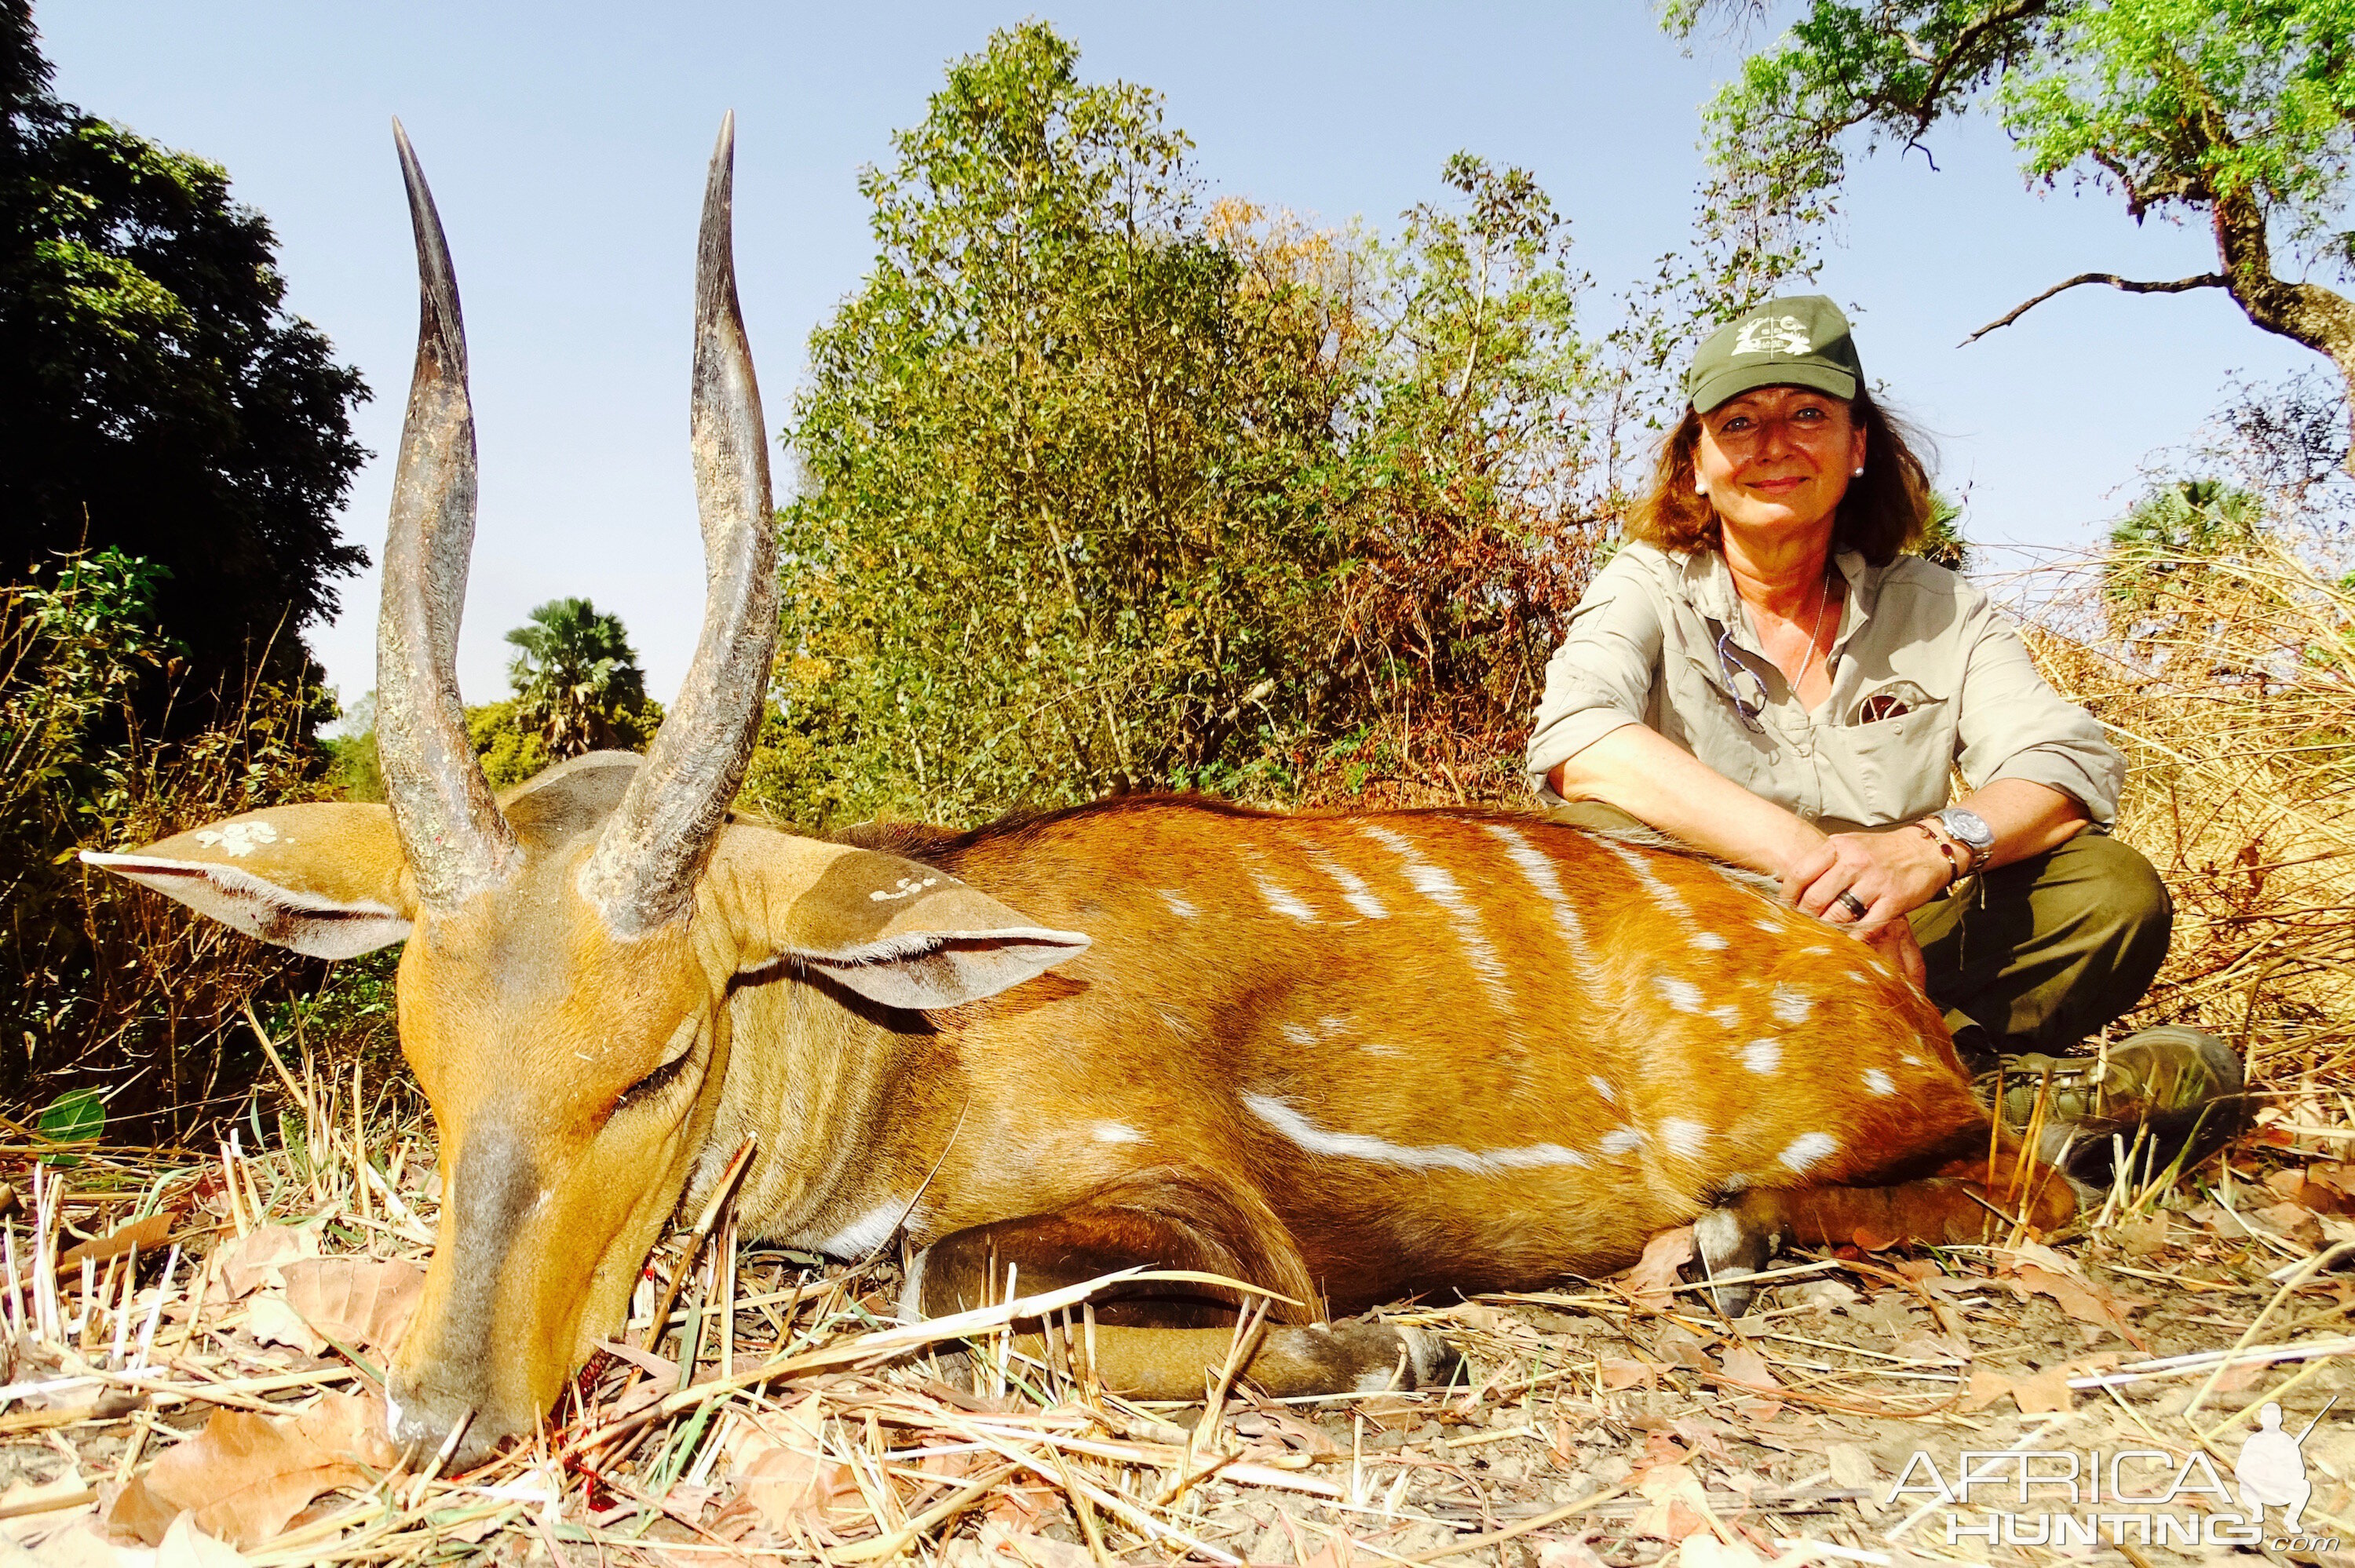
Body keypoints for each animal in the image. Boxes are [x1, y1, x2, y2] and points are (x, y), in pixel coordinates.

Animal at [87, 115, 2082, 1460]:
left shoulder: (1206, 1211)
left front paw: (1398, 1351)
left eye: (655, 1061)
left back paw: (1728, 1242)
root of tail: (1867, 958)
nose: (438, 1415)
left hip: (1868, 1114)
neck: (908, 1066)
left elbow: (945, 1289)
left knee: (2026, 1173)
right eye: (421, 1058)